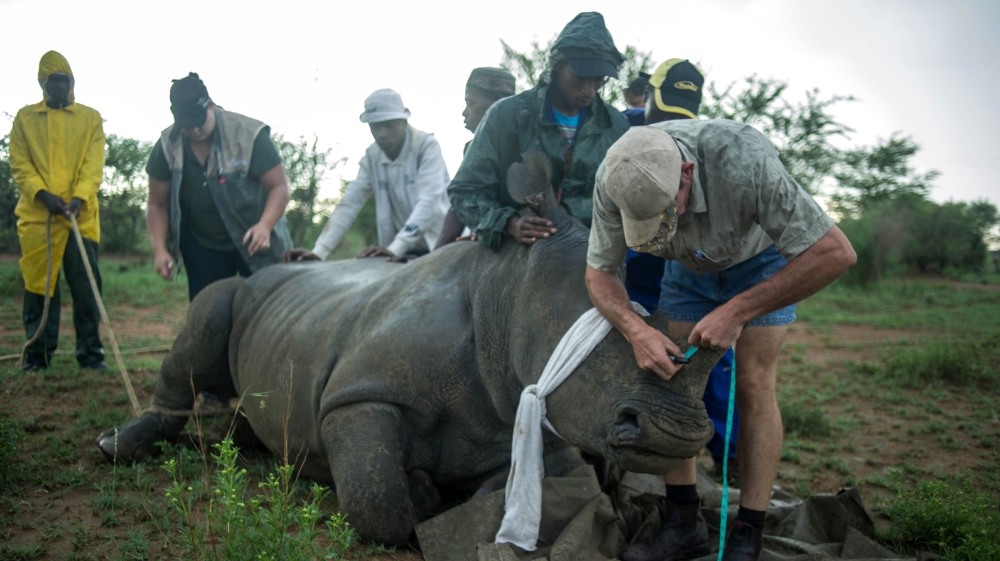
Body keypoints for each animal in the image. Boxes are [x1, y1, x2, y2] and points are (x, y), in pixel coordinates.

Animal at [97, 154, 725, 545]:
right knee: (205, 318)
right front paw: (423, 494)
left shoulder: (545, 418)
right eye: (597, 351)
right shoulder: (361, 393)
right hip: (238, 293)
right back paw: (115, 447)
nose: (682, 434)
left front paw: (466, 491)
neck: (507, 296)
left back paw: (244, 437)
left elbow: (541, 481)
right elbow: (379, 502)